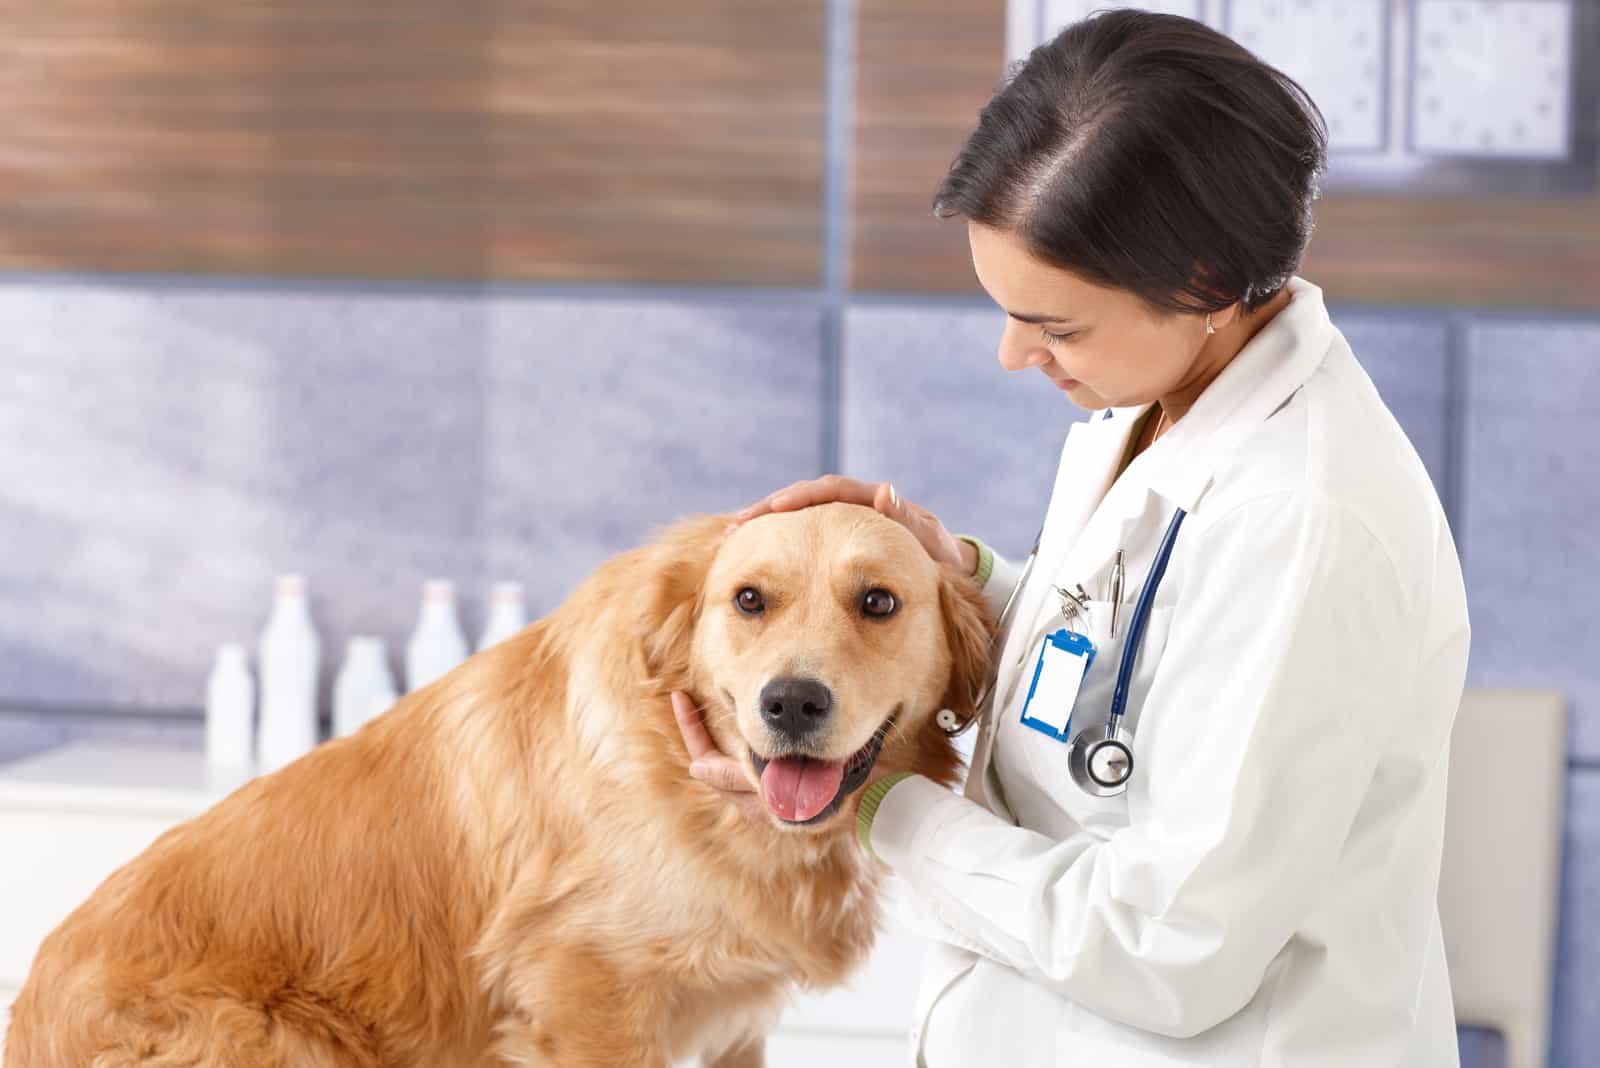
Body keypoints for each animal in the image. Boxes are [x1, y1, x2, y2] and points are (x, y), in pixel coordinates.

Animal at [6, 502, 992, 1068]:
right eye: (750, 599)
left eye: (878, 602)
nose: (789, 701)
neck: (691, 792)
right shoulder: (589, 1001)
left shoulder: (734, 1022)